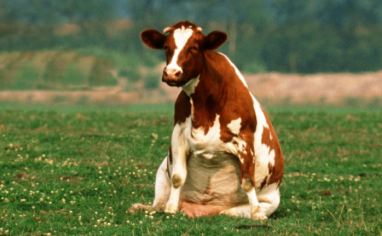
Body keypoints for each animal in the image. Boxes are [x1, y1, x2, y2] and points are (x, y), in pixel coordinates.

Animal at [129, 21, 284, 220]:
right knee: (157, 204)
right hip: (161, 172)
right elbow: (178, 177)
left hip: (268, 203)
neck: (205, 105)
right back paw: (141, 207)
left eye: (194, 48)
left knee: (233, 211)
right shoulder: (178, 133)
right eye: (166, 47)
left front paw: (257, 214)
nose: (171, 73)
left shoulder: (244, 139)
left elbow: (248, 180)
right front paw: (170, 208)